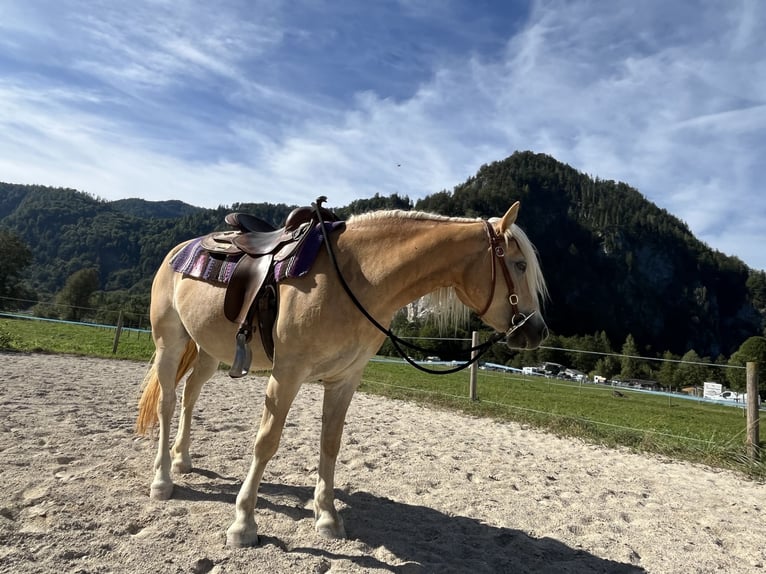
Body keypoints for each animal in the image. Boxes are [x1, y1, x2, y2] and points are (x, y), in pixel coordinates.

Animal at [136, 201, 544, 548]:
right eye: (520, 265)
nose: (536, 330)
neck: (353, 278)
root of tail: (180, 250)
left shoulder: (345, 380)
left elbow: (330, 444)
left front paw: (328, 517)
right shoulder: (286, 375)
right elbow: (266, 442)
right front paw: (243, 524)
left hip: (208, 350)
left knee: (191, 396)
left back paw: (182, 460)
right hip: (170, 342)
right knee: (168, 404)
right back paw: (162, 480)